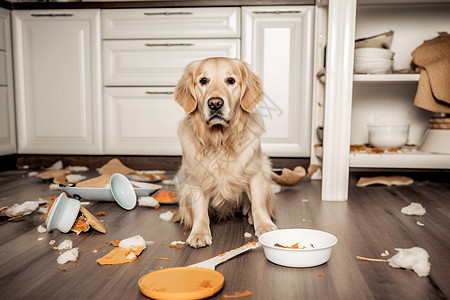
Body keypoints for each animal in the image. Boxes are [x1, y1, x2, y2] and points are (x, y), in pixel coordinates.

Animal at [173, 56, 276, 248]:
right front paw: (199, 233)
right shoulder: (196, 177)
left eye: (231, 80)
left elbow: (258, 202)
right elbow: (199, 210)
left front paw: (265, 225)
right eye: (203, 81)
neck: (220, 141)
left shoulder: (255, 171)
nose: (215, 103)